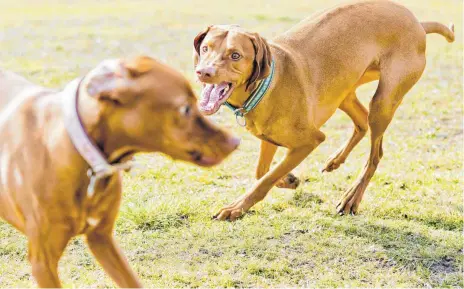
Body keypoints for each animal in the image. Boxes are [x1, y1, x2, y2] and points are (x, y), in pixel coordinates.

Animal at [193, 0, 456, 220]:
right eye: (206, 48)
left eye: (235, 55)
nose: (203, 72)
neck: (265, 85)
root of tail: (418, 23)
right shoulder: (268, 139)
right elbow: (263, 172)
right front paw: (288, 180)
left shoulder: (310, 141)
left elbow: (264, 180)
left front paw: (236, 208)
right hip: (345, 91)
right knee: (361, 123)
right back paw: (335, 161)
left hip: (384, 100)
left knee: (375, 156)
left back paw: (351, 199)